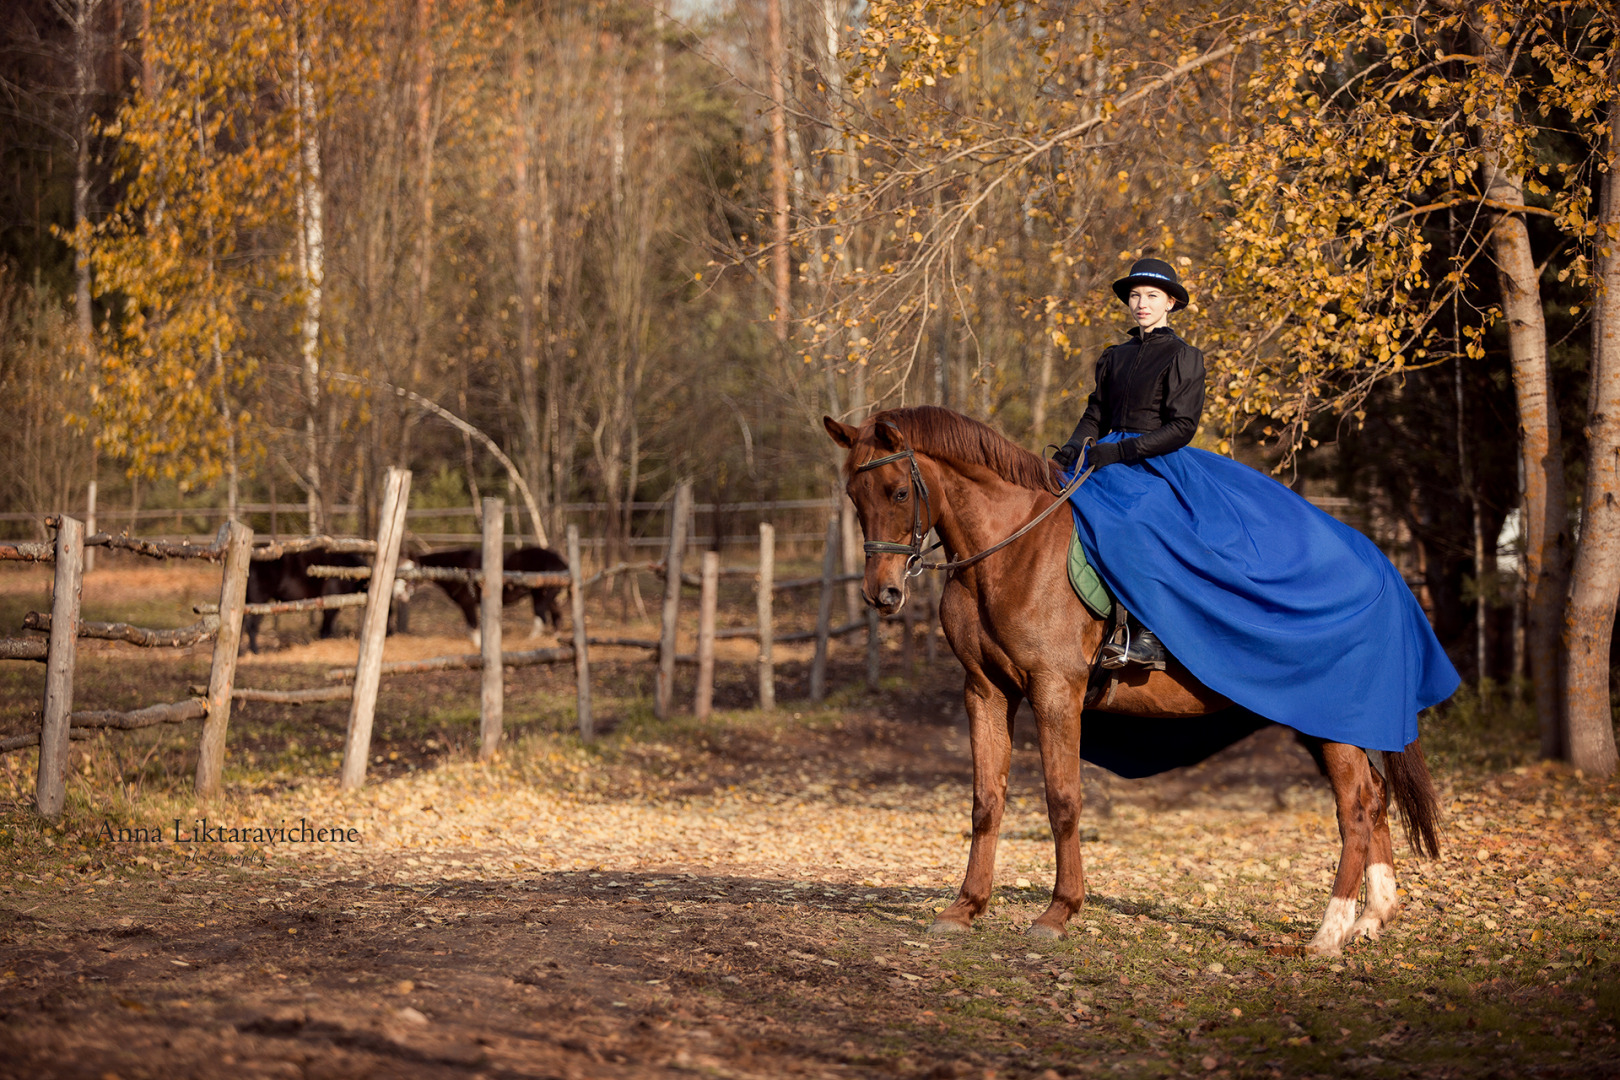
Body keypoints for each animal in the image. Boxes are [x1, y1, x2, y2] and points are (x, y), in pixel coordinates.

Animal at [829, 404, 1438, 952]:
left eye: (898, 493)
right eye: (856, 498)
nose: (882, 594)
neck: (1011, 550)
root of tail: (1381, 566)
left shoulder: (1055, 692)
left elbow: (1062, 799)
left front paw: (1059, 912)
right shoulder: (985, 691)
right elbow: (986, 800)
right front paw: (966, 908)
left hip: (1330, 720)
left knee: (1355, 805)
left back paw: (1329, 933)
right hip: (1322, 721)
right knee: (1375, 797)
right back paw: (1371, 919)